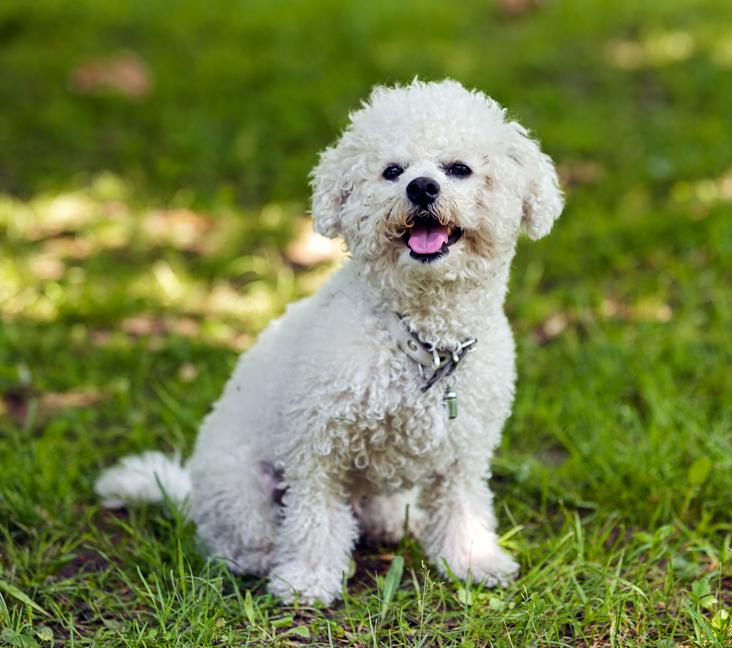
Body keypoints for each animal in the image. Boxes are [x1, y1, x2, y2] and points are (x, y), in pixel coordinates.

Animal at [96, 79, 568, 604]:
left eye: (459, 169)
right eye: (392, 171)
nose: (421, 187)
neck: (422, 338)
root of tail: (190, 492)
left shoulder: (465, 452)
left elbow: (463, 507)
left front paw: (472, 560)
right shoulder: (316, 446)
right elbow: (314, 519)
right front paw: (307, 579)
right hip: (238, 485)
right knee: (236, 535)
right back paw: (257, 557)